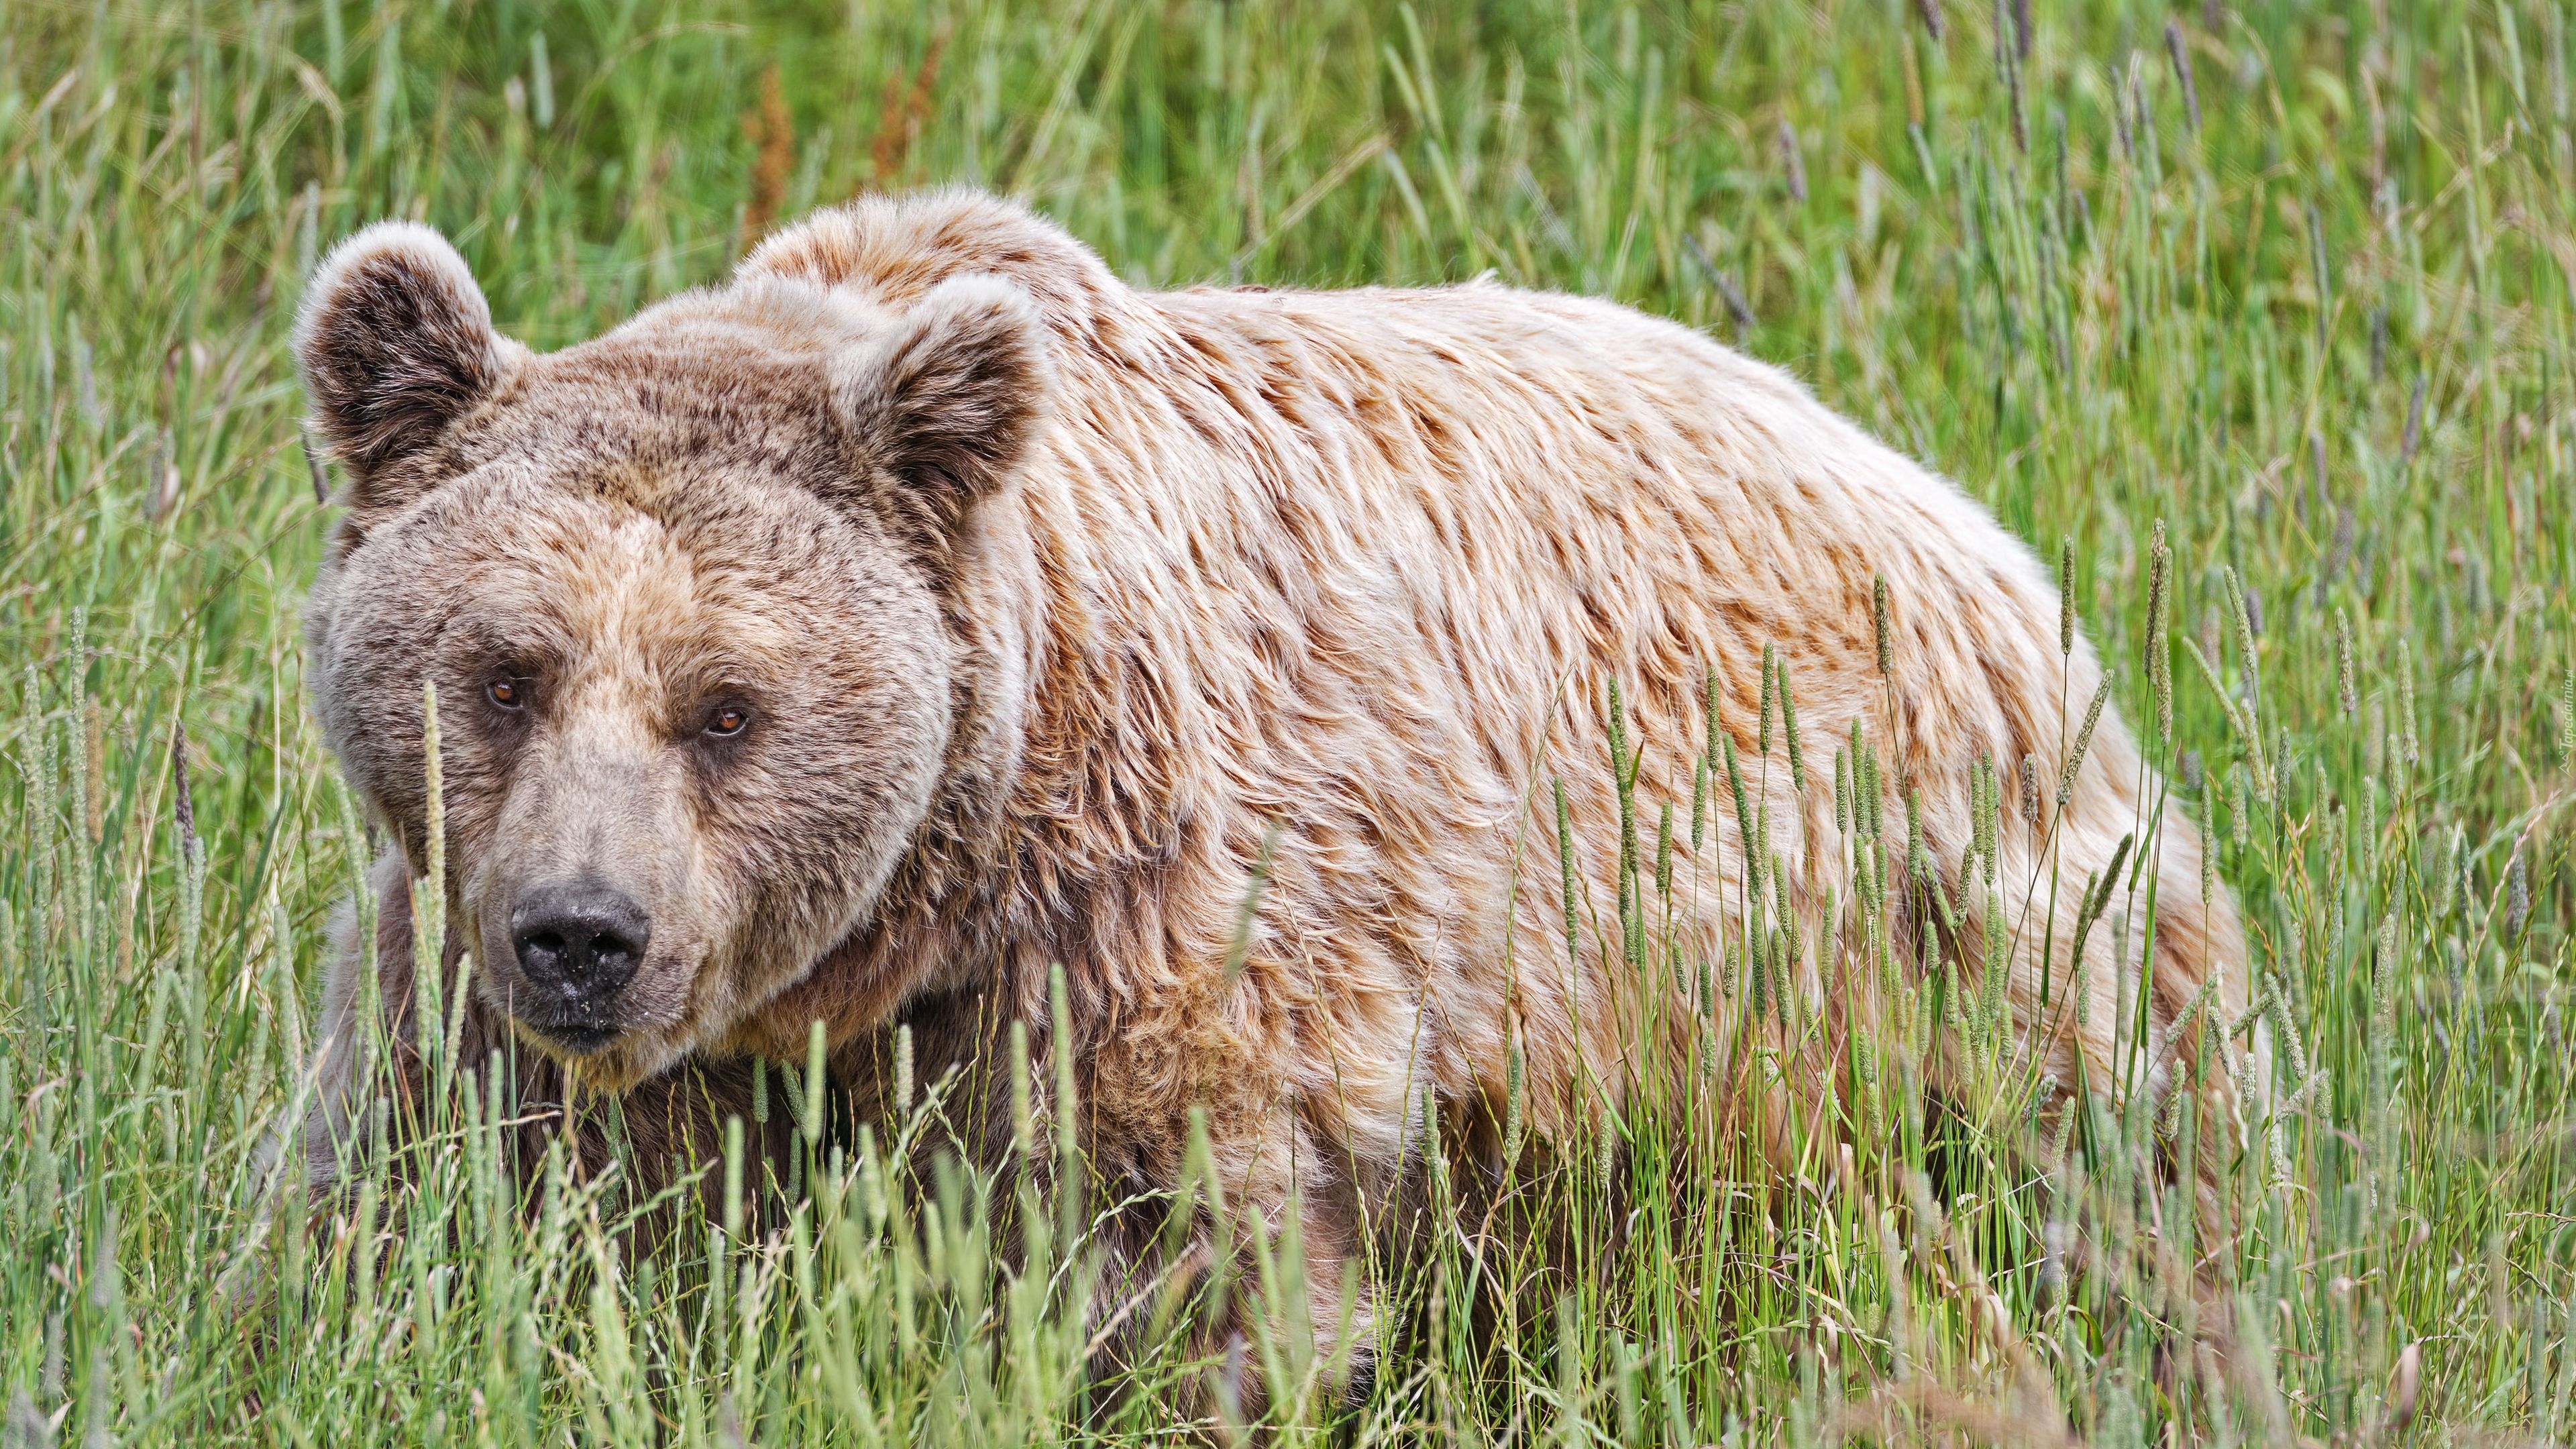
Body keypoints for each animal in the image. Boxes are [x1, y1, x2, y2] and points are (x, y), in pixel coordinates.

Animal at [292, 189, 2246, 1361]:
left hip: (1929, 946)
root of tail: (1971, 525)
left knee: (2113, 1183)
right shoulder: (481, 995)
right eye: (504, 671)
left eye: (727, 706)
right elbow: (430, 1212)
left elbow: (1187, 1270)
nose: (583, 932)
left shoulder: (1163, 944)